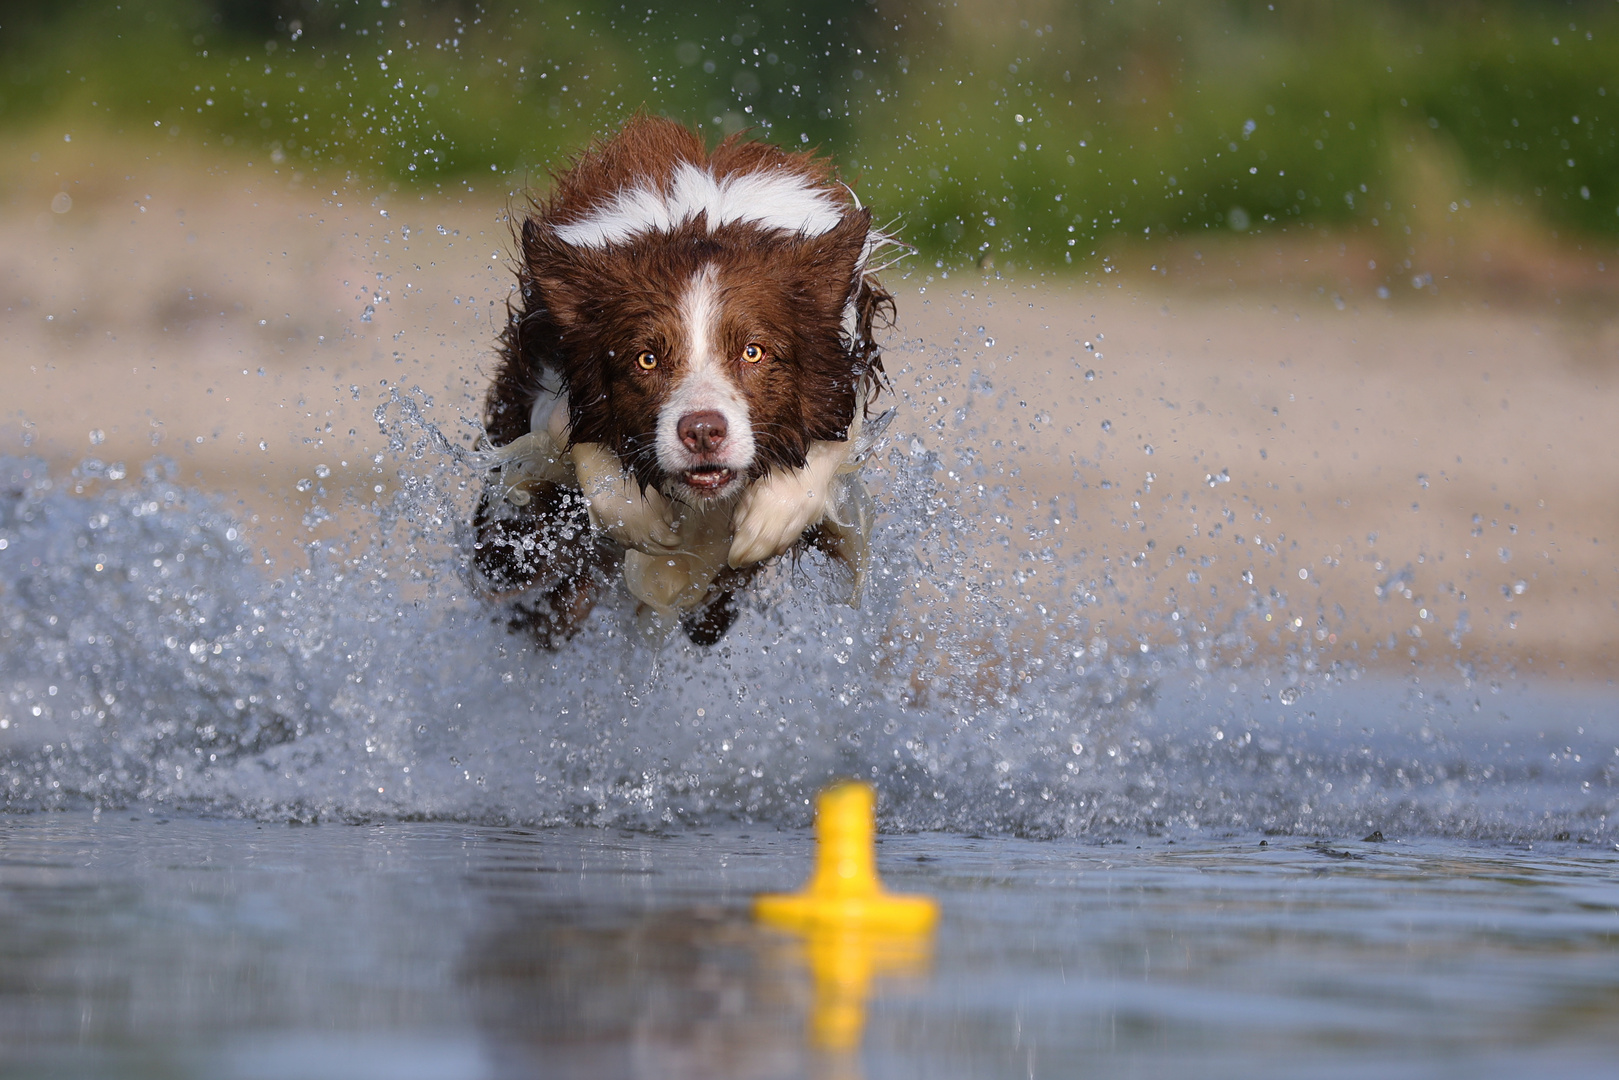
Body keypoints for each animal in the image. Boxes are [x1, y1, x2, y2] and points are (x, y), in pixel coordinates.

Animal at [469, 114, 900, 647]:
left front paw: (769, 520)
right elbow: (571, 433)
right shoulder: (548, 369)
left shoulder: (845, 369)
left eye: (752, 352)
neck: (703, 221)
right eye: (647, 359)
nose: (702, 432)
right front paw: (638, 516)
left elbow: (833, 441)